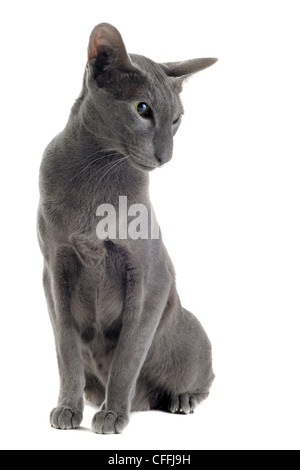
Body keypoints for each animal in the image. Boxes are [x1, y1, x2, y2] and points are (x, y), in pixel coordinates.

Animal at [37, 22, 217, 434]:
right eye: (142, 109)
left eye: (177, 118)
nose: (166, 156)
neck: (99, 171)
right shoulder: (54, 271)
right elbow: (66, 349)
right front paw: (67, 409)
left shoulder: (149, 277)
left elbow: (128, 355)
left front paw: (113, 414)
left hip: (188, 334)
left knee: (204, 375)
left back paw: (179, 400)